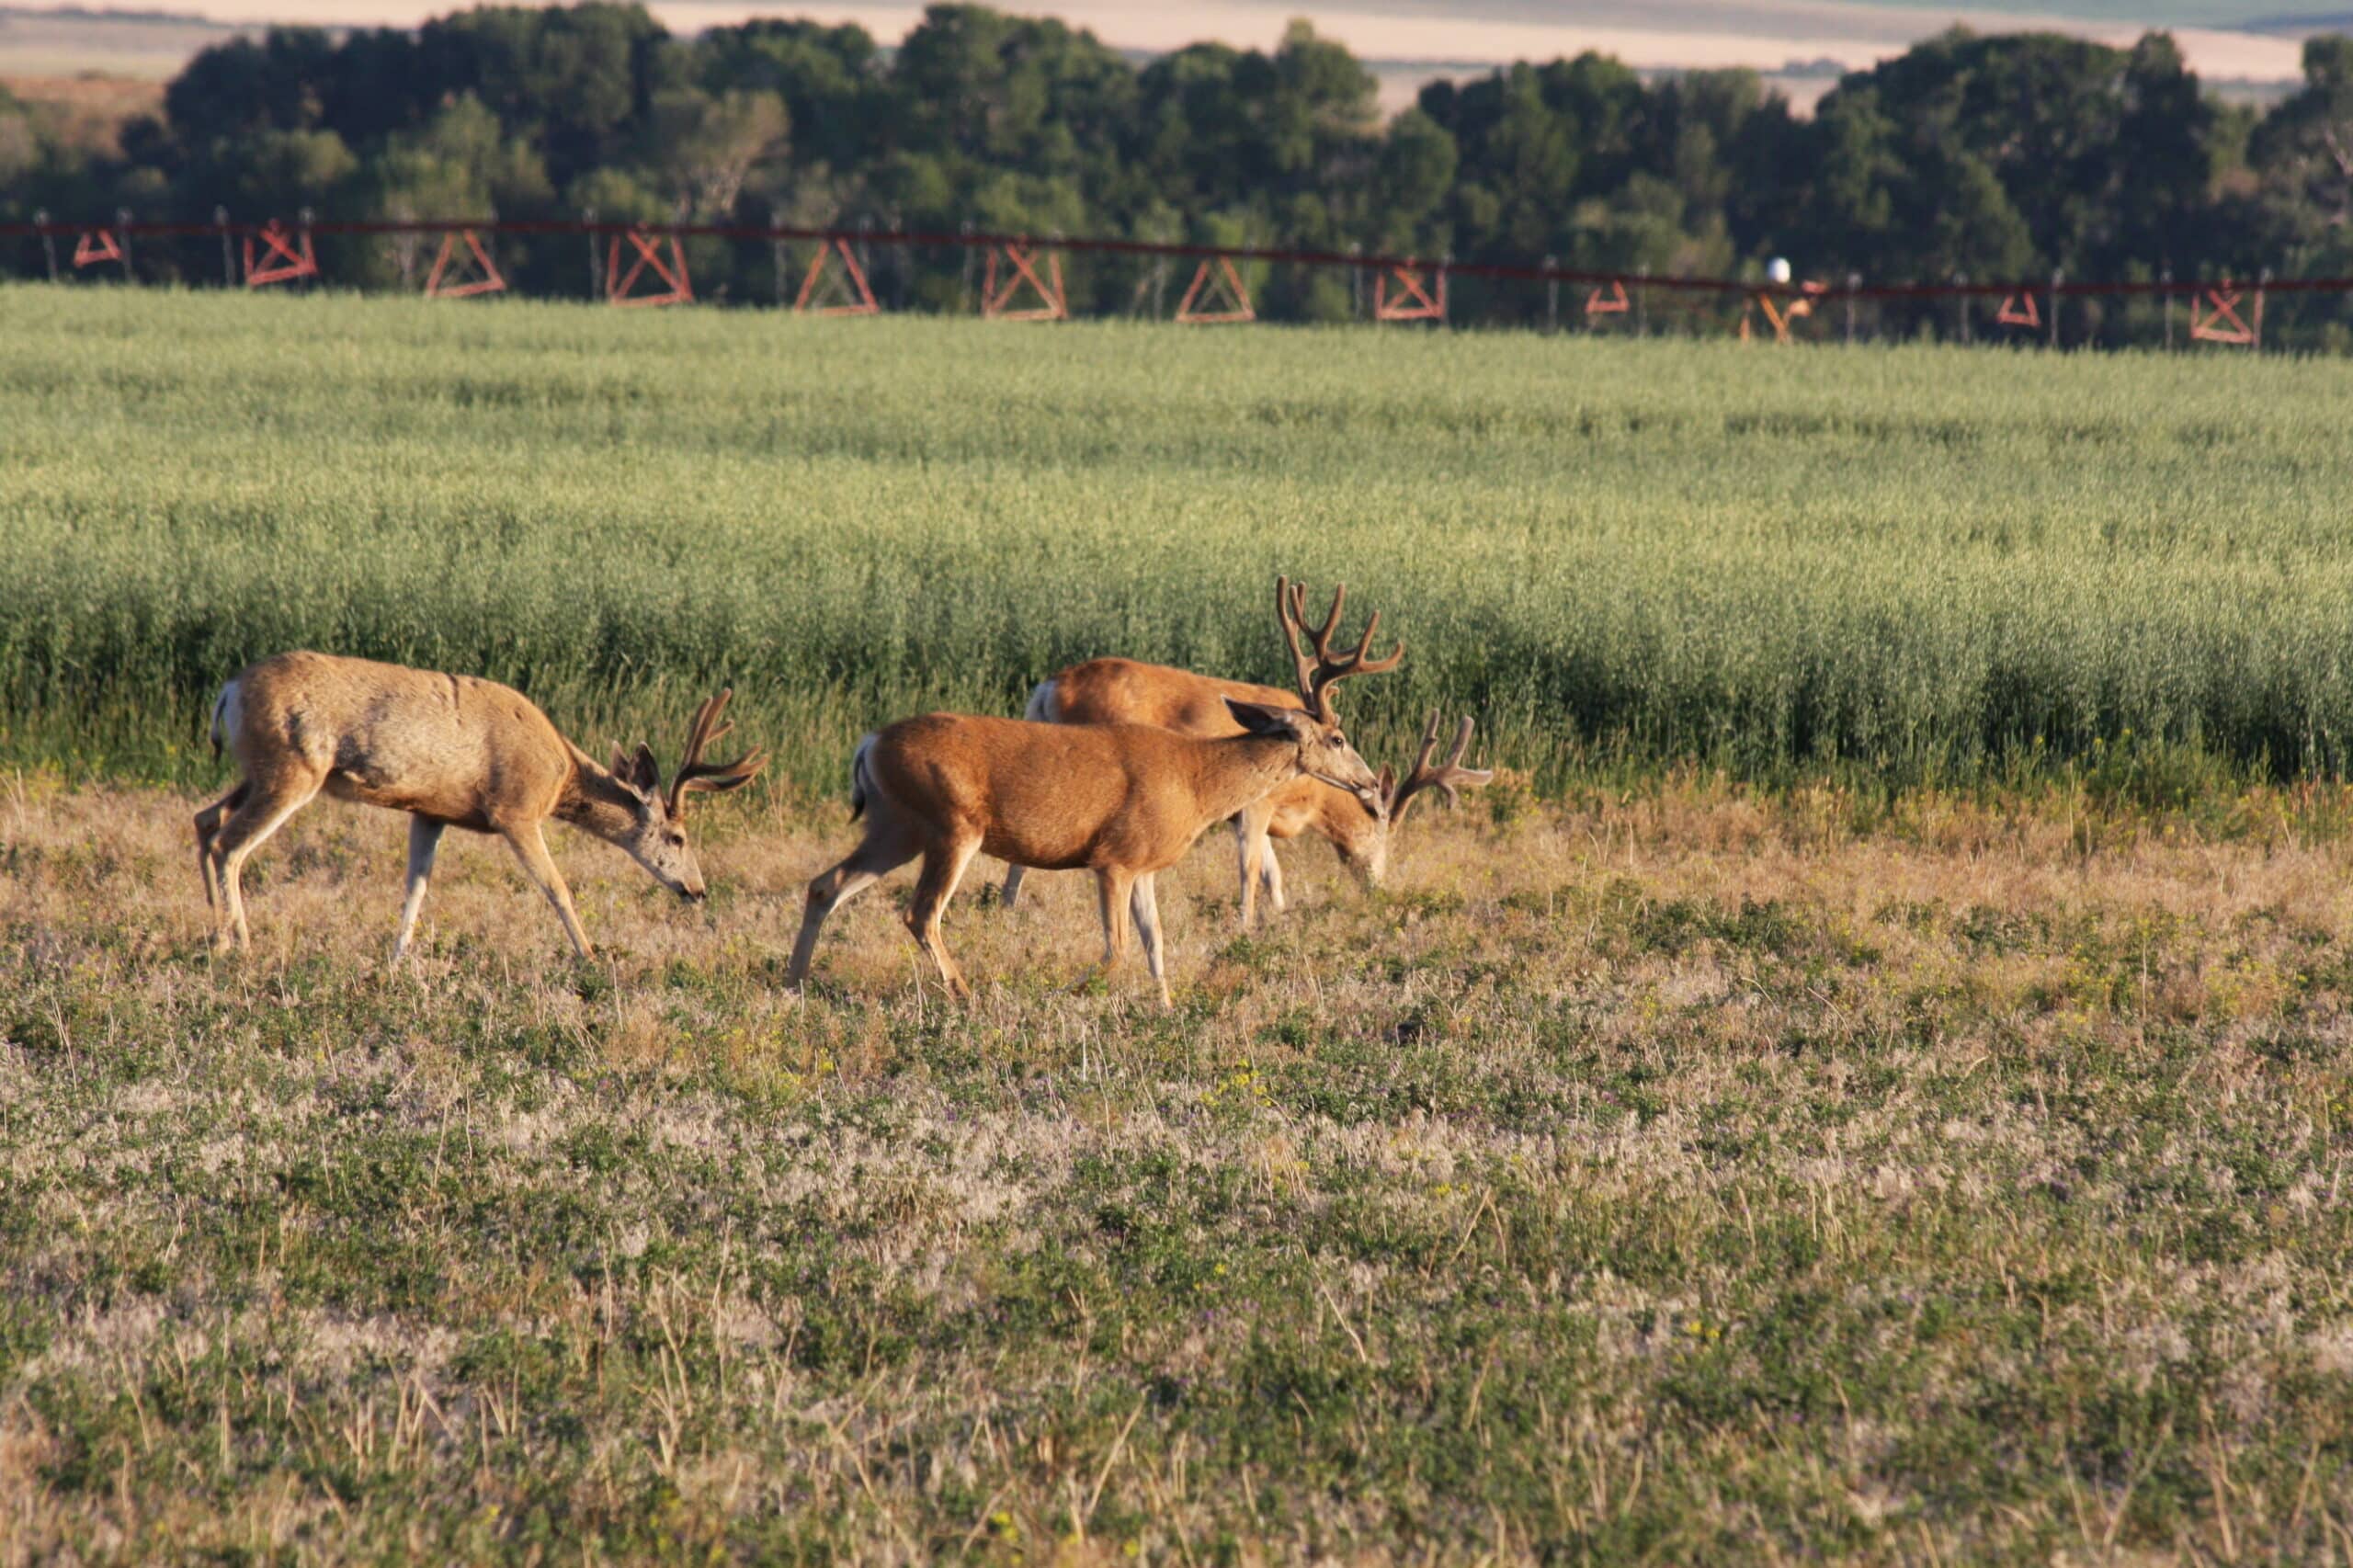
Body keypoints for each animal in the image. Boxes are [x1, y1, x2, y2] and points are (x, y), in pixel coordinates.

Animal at [195, 651, 765, 961]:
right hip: (293, 768)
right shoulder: (515, 809)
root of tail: (228, 690)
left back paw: (213, 930)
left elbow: (416, 889)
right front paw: (590, 955)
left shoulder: (431, 810)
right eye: (678, 837)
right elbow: (557, 887)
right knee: (229, 844)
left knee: (205, 819)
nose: (697, 889)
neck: (560, 772)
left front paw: (396, 959)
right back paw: (235, 942)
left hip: (258, 770)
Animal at [783, 579, 1395, 1006]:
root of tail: (869, 743)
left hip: (897, 825)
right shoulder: (1115, 857)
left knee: (826, 884)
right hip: (951, 823)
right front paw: (1058, 995)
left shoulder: (1145, 866)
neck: (1196, 780)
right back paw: (965, 994)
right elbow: (1117, 949)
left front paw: (1166, 1008)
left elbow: (1156, 943)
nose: (1369, 783)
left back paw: (793, 985)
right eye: (1338, 738)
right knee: (920, 912)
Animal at [1000, 584, 1493, 926]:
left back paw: (1006, 909)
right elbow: (1252, 866)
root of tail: (1049, 687)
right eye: (1382, 833)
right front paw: (1245, 922)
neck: (1308, 799)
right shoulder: (1258, 803)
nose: (1378, 887)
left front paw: (1279, 915)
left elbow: (1274, 872)